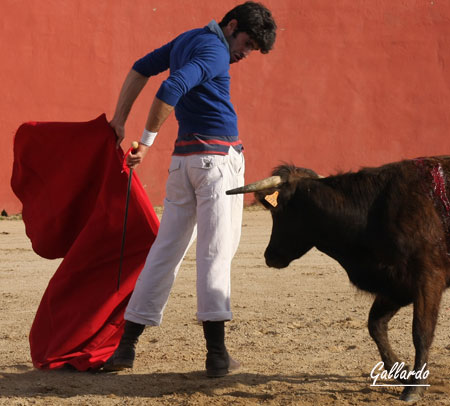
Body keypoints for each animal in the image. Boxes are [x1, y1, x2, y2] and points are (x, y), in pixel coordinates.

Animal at [227, 157, 450, 402]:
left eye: (279, 213)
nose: (270, 256)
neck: (371, 212)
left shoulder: (428, 280)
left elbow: (421, 332)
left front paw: (414, 387)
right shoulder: (395, 285)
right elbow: (375, 325)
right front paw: (404, 373)